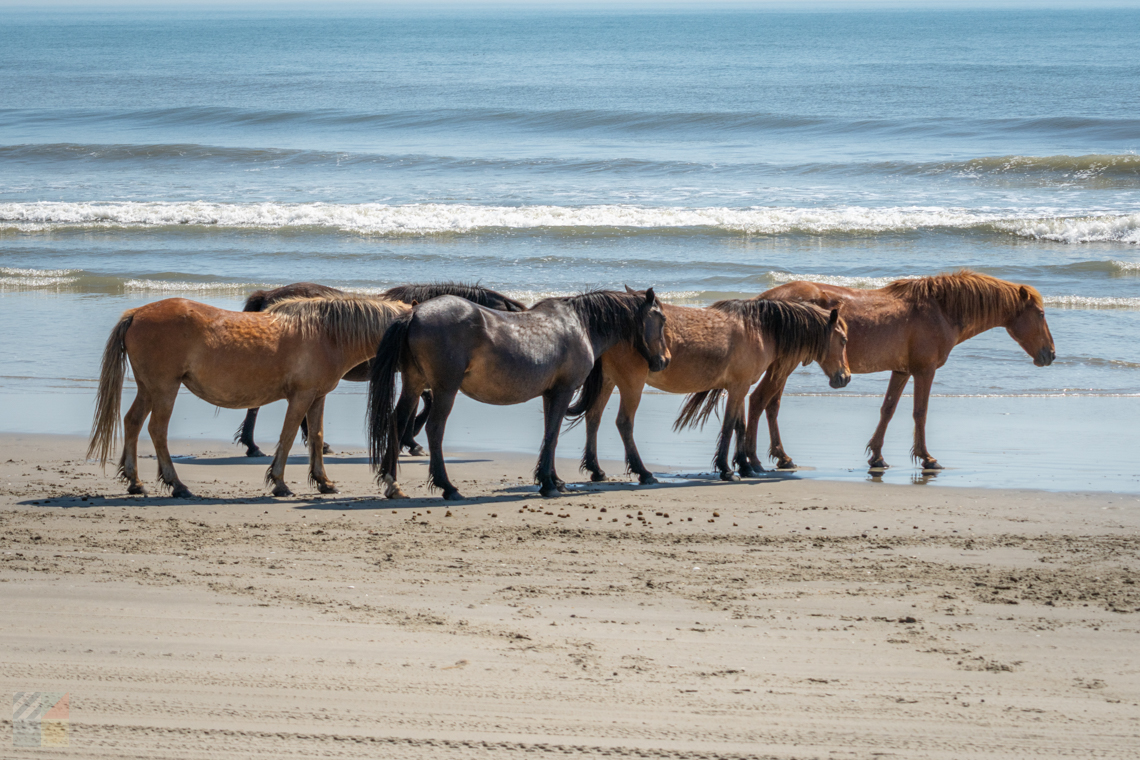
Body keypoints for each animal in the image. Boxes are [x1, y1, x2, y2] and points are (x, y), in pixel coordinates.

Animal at [88, 294, 410, 498]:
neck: (325, 334)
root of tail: (136, 314)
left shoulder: (317, 397)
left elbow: (316, 438)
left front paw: (324, 482)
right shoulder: (301, 396)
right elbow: (288, 436)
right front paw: (279, 483)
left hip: (149, 388)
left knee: (132, 423)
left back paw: (135, 482)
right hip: (164, 388)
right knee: (157, 431)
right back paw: (177, 485)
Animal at [236, 281, 527, 457]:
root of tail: (267, 297)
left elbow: (422, 401)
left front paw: (409, 438)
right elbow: (423, 402)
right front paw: (411, 438)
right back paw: (254, 445)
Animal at [367, 289, 670, 500]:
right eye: (662, 318)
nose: (664, 361)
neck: (579, 325)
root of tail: (414, 314)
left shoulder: (550, 394)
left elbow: (550, 435)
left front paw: (554, 480)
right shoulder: (563, 391)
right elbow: (553, 435)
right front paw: (548, 484)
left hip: (414, 384)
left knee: (397, 422)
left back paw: (392, 483)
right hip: (445, 389)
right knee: (434, 429)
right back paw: (447, 487)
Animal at [570, 298, 849, 483]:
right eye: (844, 339)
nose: (844, 377)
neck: (758, 328)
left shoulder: (740, 387)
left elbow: (739, 425)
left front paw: (745, 467)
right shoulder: (738, 387)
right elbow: (728, 426)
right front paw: (727, 469)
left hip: (608, 381)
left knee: (593, 419)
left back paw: (597, 470)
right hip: (631, 384)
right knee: (624, 423)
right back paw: (644, 473)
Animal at [746, 270, 1056, 471]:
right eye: (1040, 314)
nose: (1051, 354)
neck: (940, 310)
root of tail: (766, 299)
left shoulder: (902, 371)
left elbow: (888, 410)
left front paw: (876, 456)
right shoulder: (924, 371)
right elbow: (920, 413)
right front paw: (927, 458)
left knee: (771, 405)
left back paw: (781, 457)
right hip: (784, 365)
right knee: (759, 401)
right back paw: (753, 461)